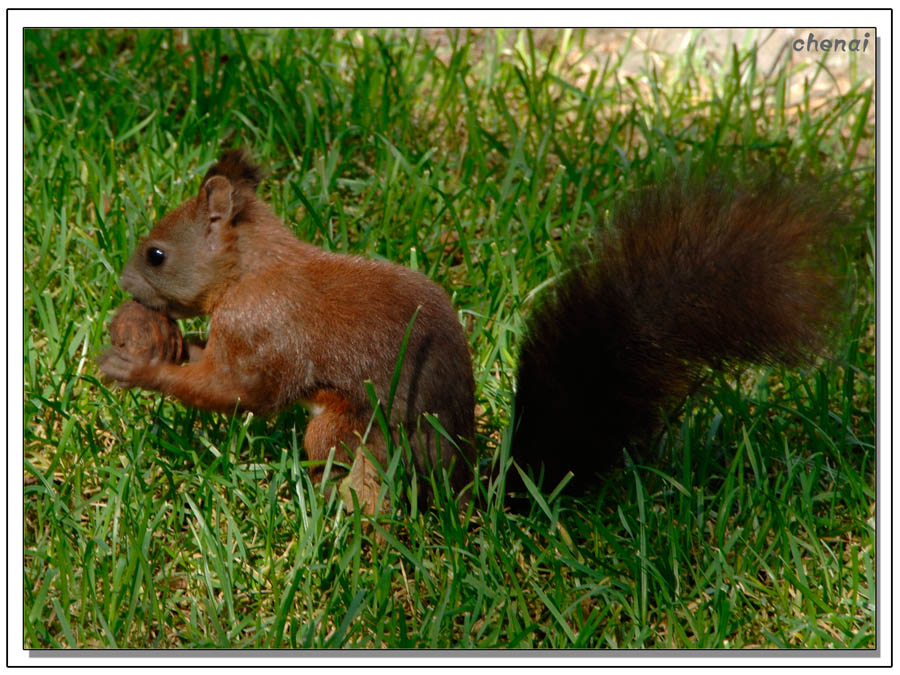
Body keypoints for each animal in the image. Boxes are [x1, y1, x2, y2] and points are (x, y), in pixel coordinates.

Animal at [100, 148, 844, 508]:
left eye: (157, 253)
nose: (125, 284)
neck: (253, 267)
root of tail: (462, 484)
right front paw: (165, 341)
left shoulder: (263, 328)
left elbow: (240, 390)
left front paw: (139, 367)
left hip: (356, 431)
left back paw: (341, 518)